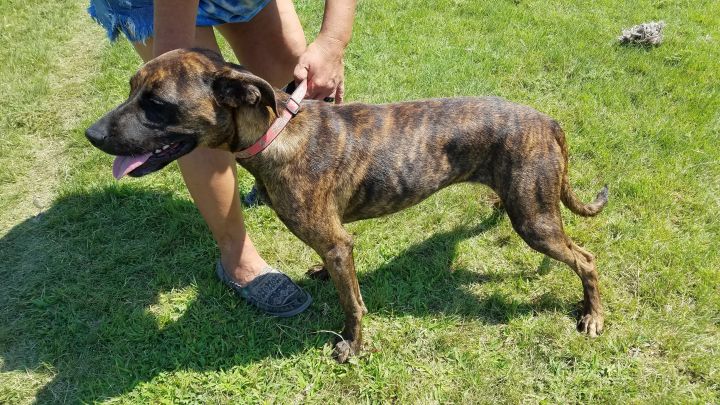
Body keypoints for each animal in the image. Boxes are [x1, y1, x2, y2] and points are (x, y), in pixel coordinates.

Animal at [87, 49, 612, 362]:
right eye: (131, 89)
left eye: (157, 103)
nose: (91, 134)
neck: (276, 133)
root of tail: (548, 121)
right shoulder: (334, 241)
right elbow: (337, 275)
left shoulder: (339, 243)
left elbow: (353, 303)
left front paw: (353, 346)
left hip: (536, 220)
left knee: (586, 259)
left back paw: (593, 315)